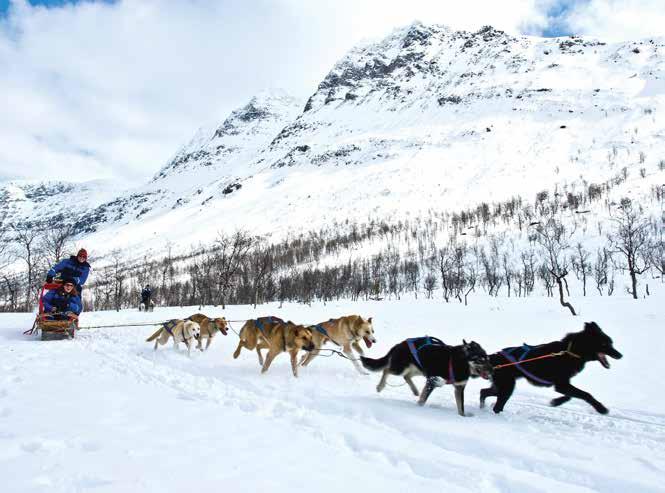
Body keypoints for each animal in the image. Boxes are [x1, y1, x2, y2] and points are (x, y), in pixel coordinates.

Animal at [480, 320, 620, 414]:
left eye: (611, 342)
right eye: (605, 344)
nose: (620, 355)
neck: (570, 351)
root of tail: (492, 357)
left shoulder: (562, 384)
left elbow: (569, 396)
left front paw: (556, 401)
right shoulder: (562, 384)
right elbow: (586, 394)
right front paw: (601, 408)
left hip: (501, 386)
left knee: (484, 392)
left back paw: (483, 407)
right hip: (507, 387)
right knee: (497, 406)